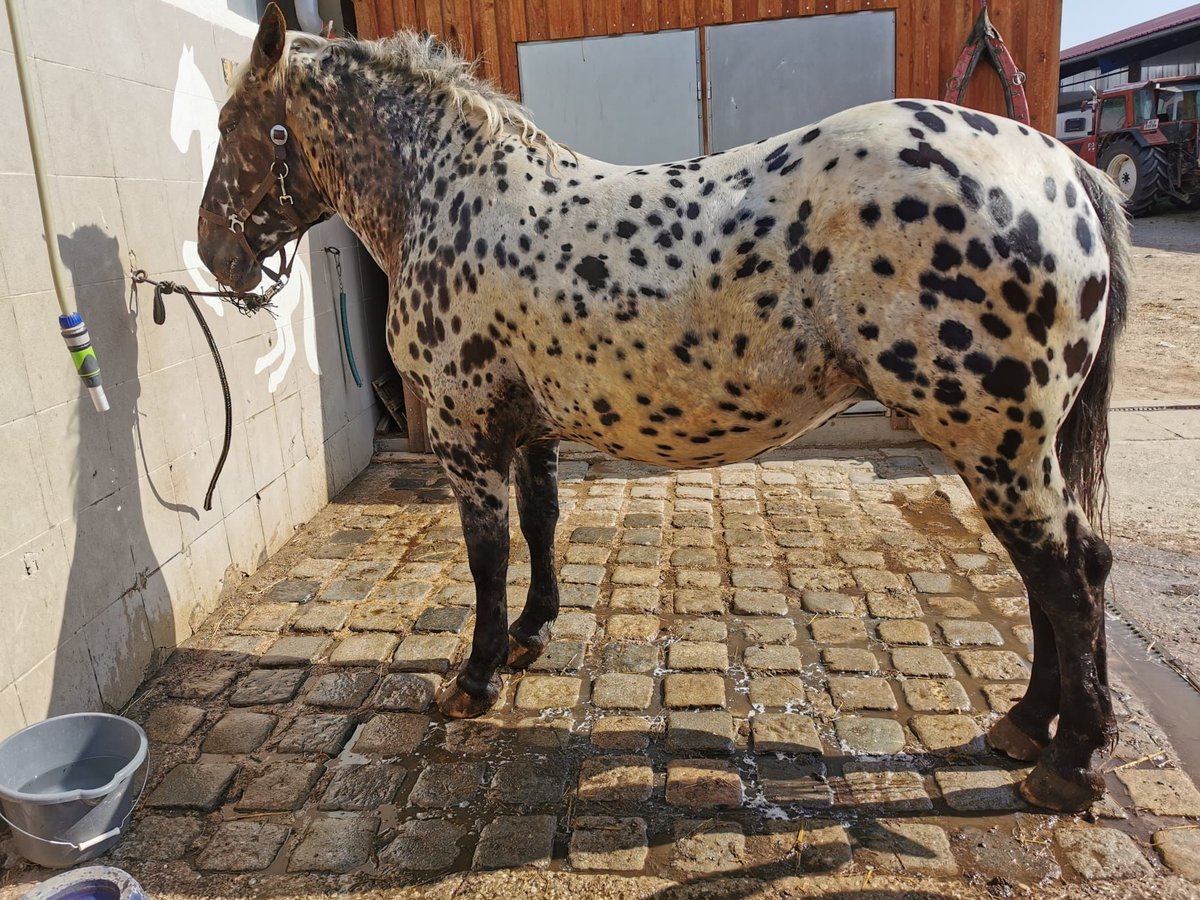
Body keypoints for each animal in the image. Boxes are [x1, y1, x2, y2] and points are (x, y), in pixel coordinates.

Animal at [196, 3, 1132, 816]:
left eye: (231, 124)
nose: (213, 254)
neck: (450, 198)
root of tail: (1062, 169)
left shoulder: (467, 437)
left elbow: (487, 557)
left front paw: (475, 679)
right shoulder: (530, 432)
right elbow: (541, 523)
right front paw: (534, 635)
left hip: (995, 443)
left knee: (1069, 576)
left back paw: (1069, 762)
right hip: (1013, 447)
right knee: (1053, 575)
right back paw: (1026, 727)